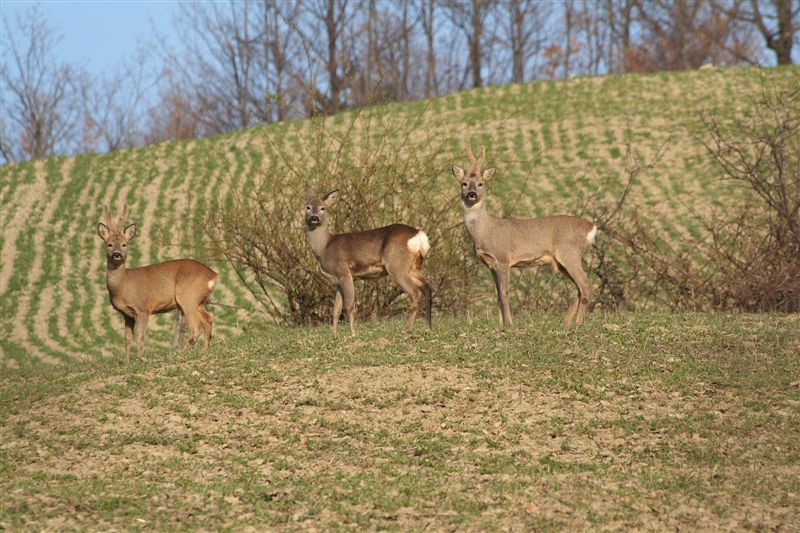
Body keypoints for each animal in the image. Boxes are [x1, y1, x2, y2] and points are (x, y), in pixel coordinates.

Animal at [97, 204, 219, 358]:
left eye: (124, 244)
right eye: (109, 244)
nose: (117, 254)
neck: (123, 286)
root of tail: (213, 275)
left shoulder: (143, 308)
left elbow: (140, 336)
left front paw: (141, 358)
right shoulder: (127, 314)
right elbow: (127, 339)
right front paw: (127, 360)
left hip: (188, 297)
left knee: (197, 326)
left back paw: (182, 352)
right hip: (199, 301)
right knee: (208, 320)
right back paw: (205, 350)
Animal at [304, 189, 432, 334]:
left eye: (322, 208)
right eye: (308, 207)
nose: (314, 217)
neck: (324, 248)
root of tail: (419, 235)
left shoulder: (344, 273)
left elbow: (349, 306)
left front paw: (353, 333)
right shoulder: (336, 281)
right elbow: (336, 310)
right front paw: (334, 334)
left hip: (397, 266)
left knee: (415, 293)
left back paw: (406, 329)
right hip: (413, 267)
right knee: (427, 287)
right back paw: (428, 326)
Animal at [454, 145, 596, 328]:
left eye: (480, 183)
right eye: (464, 183)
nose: (471, 194)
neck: (485, 231)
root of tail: (591, 227)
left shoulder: (503, 258)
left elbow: (505, 293)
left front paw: (509, 323)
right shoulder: (491, 264)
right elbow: (497, 294)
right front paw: (501, 325)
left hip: (569, 253)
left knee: (585, 284)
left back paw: (578, 322)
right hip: (562, 262)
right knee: (579, 287)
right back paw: (567, 321)